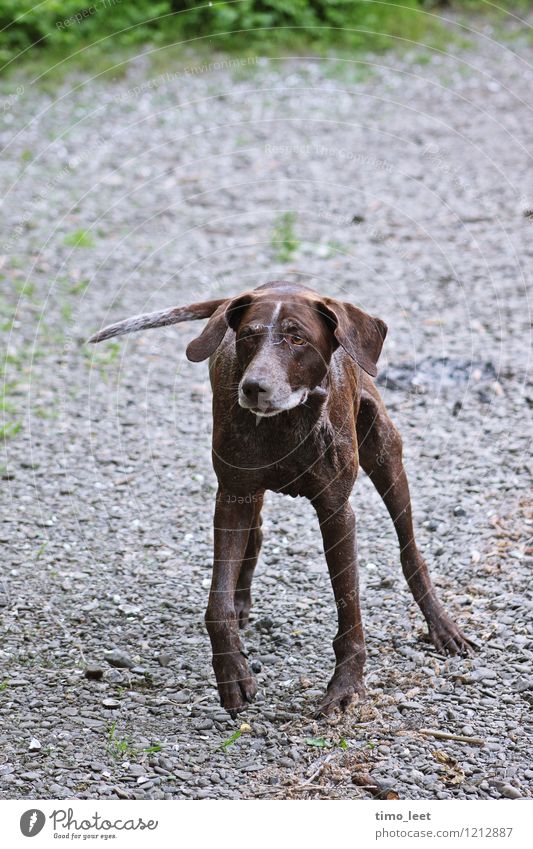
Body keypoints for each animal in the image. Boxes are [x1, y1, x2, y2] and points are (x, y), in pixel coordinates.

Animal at [89, 284, 472, 716]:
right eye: (248, 336)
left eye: (297, 339)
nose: (254, 386)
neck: (286, 424)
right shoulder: (232, 497)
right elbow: (217, 605)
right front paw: (232, 671)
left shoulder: (336, 513)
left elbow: (349, 609)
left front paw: (345, 687)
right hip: (247, 492)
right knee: (254, 538)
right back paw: (241, 599)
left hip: (386, 454)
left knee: (411, 552)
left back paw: (442, 625)